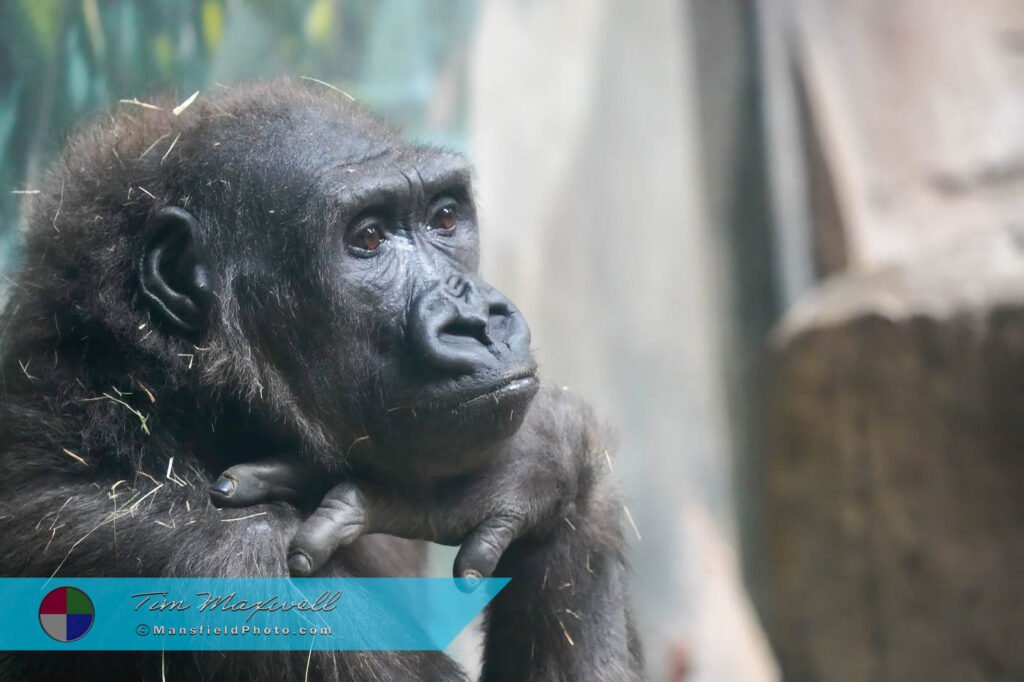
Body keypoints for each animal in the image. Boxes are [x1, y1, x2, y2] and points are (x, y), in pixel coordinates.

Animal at [0, 80, 643, 679]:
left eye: (445, 218)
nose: (479, 321)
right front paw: (535, 455)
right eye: (368, 239)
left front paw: (536, 461)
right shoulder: (232, 563)